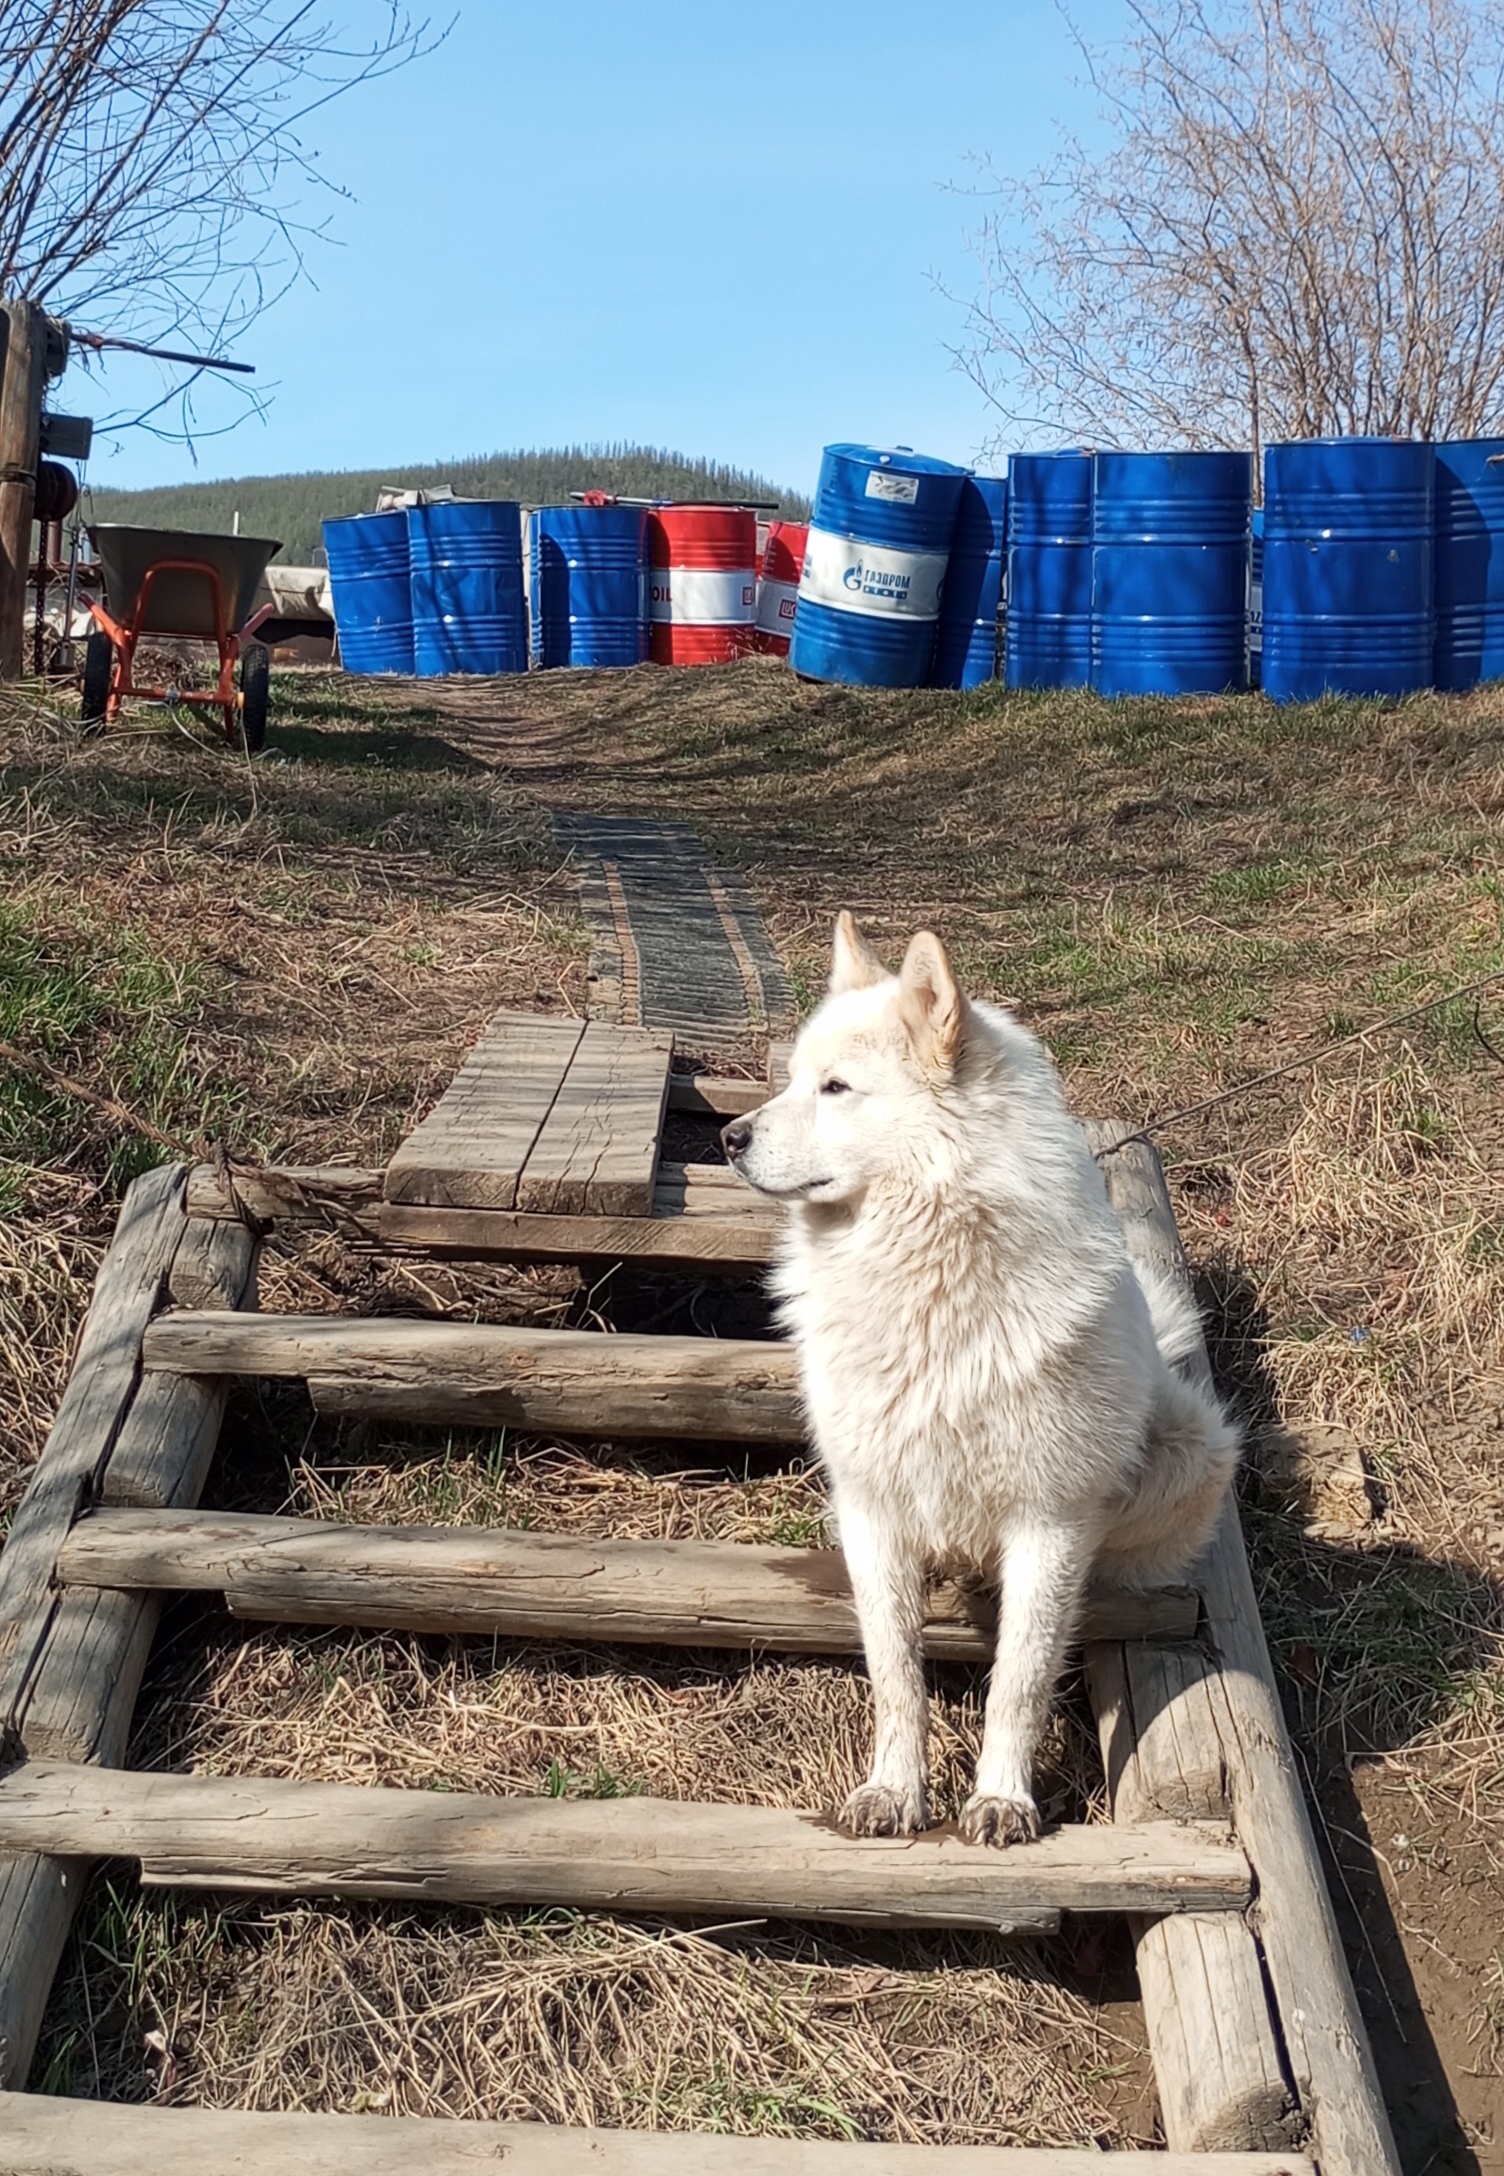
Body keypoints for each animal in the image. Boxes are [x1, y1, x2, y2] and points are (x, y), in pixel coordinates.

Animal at [722, 909, 1244, 1845]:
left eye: (835, 1088)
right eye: (794, 1080)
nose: (728, 1138)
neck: (927, 1273)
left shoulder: (1050, 1520)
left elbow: (1019, 1682)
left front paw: (1003, 1799)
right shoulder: (874, 1505)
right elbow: (897, 1675)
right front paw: (894, 1792)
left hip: (1192, 1445)